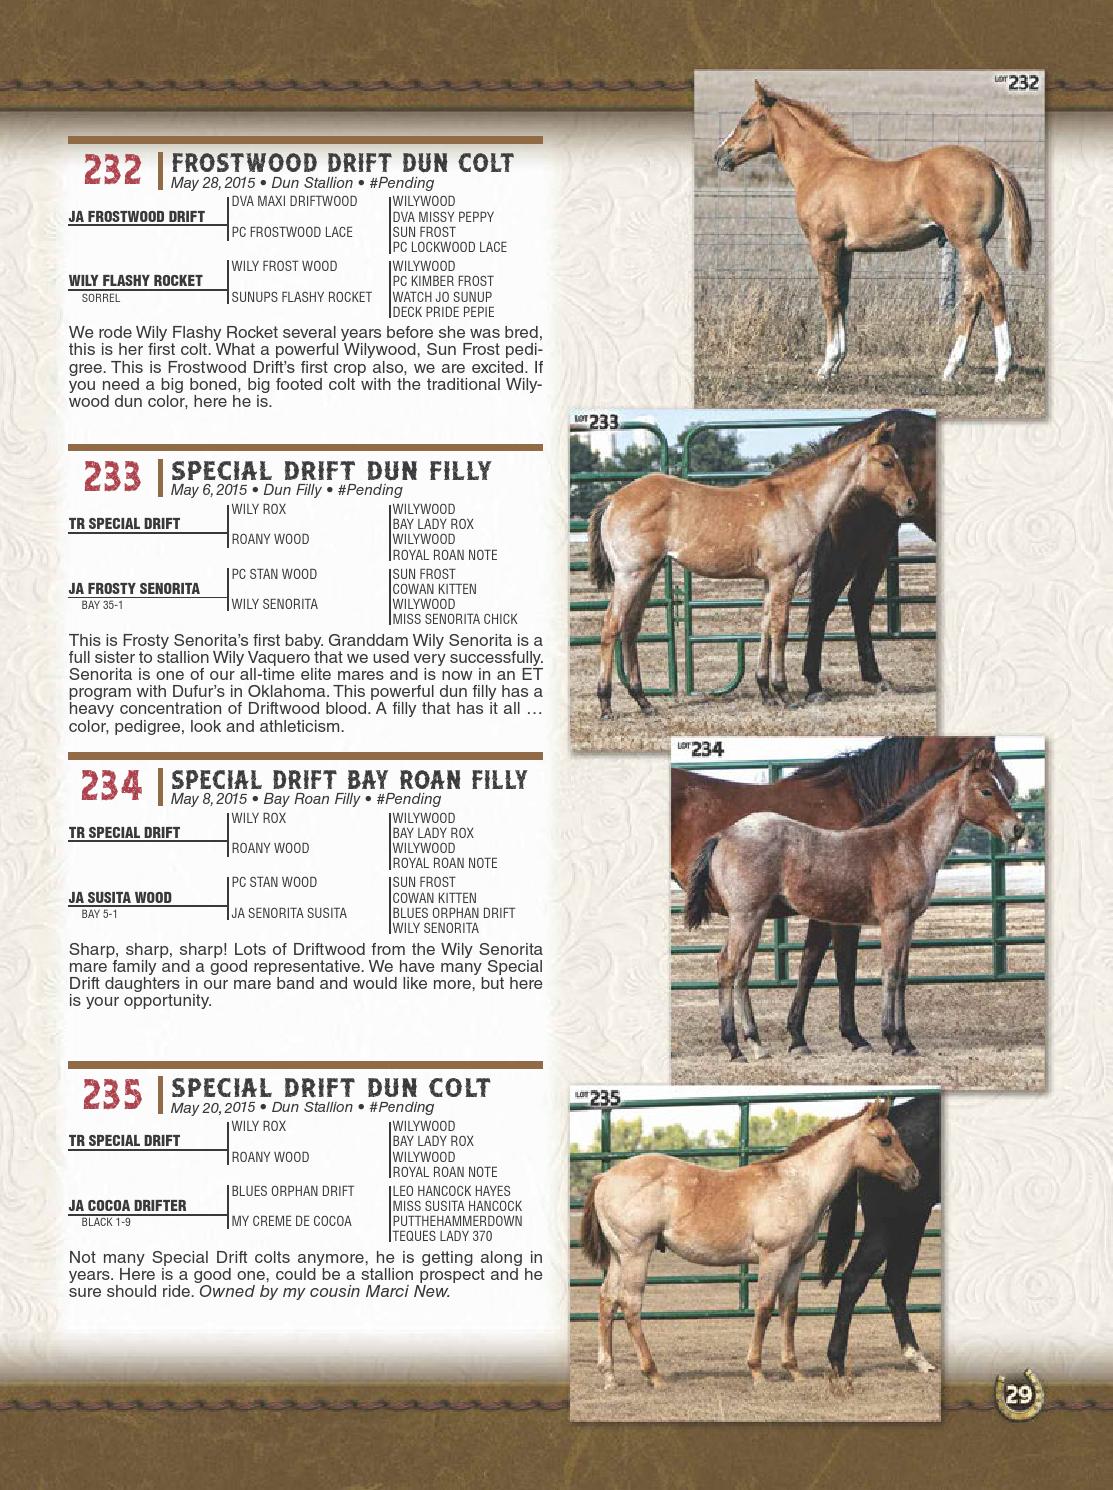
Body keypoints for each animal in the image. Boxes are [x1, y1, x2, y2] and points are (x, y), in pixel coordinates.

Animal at [580, 1097, 919, 1391]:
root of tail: (605, 1176)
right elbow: (765, 1307)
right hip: (637, 1252)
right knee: (630, 1305)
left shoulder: (796, 1260)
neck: (797, 1184)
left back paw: (609, 1376)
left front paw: (793, 1370)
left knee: (607, 1300)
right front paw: (757, 1371)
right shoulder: (774, 1256)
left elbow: (789, 1309)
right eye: (885, 1139)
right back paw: (653, 1374)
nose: (914, 1176)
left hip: (619, 1256)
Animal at [588, 424, 917, 719]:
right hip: (632, 575)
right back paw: (605, 705)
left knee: (630, 629)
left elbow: (765, 627)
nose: (910, 502)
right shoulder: (784, 576)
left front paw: (766, 692)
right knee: (611, 627)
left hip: (649, 574)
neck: (798, 502)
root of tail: (613, 499)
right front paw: (784, 693)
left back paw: (644, 702)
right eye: (887, 462)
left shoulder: (769, 581)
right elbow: (780, 630)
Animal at [671, 736, 1016, 1053]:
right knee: (727, 965)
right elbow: (884, 973)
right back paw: (733, 1046)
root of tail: (723, 834)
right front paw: (889, 1038)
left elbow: (902, 976)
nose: (1017, 828)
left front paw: (905, 1041)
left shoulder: (908, 923)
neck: (905, 843)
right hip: (745, 916)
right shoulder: (890, 920)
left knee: (742, 970)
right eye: (986, 790)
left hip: (754, 917)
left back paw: (756, 1043)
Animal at [714, 81, 1032, 385]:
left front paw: (826, 366)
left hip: (968, 243)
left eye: (745, 121)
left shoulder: (823, 243)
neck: (821, 167)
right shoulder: (845, 250)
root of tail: (990, 163)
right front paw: (838, 363)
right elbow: (843, 297)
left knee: (991, 286)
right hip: (970, 245)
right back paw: (950, 370)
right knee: (971, 297)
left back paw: (1002, 370)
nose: (720, 156)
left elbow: (828, 297)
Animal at [793, 410, 936, 703]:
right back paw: (815, 685)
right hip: (855, 541)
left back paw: (875, 678)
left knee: (858, 598)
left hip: (878, 540)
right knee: (825, 601)